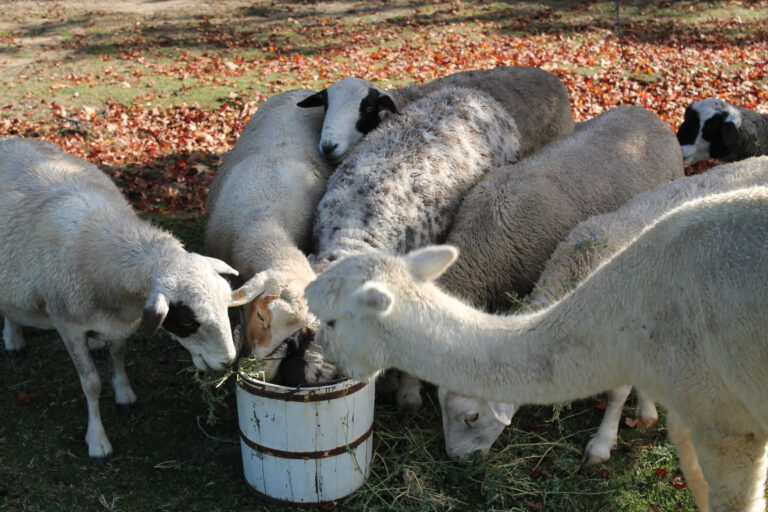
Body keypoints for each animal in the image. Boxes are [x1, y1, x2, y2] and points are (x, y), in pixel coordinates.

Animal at [0, 138, 262, 464]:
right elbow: (91, 384)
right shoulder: (67, 324)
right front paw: (97, 441)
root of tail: (11, 140)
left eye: (226, 309)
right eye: (187, 319)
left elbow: (118, 353)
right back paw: (13, 338)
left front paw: (124, 393)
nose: (228, 361)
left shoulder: (118, 321)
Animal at [304, 184, 768, 512]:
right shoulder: (692, 411)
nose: (457, 460)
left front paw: (602, 445)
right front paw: (645, 413)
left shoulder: (725, 421)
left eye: (331, 320)